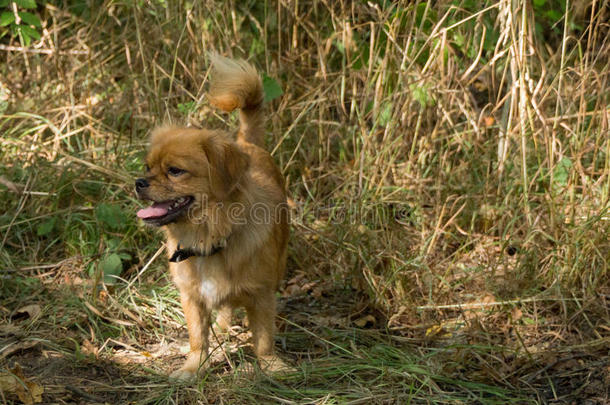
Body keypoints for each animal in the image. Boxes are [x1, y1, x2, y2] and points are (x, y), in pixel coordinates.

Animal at [137, 53, 288, 378]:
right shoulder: (192, 298)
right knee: (224, 311)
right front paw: (194, 368)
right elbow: (198, 337)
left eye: (175, 171)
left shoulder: (262, 294)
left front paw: (271, 367)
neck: (207, 237)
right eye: (147, 167)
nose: (138, 182)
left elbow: (264, 338)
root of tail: (247, 142)